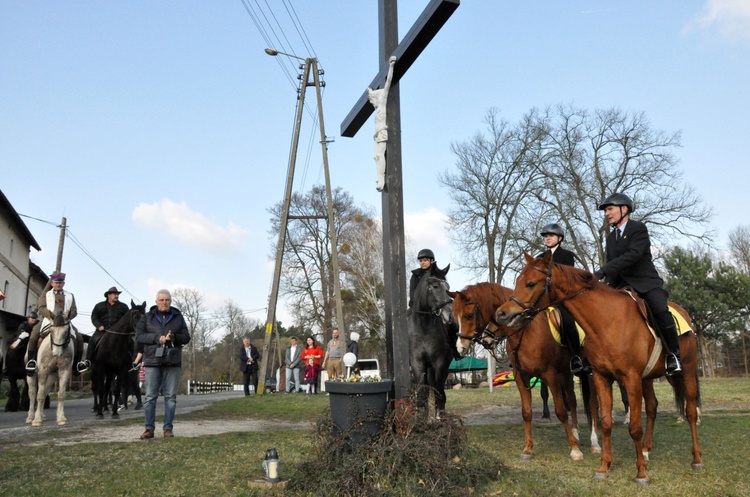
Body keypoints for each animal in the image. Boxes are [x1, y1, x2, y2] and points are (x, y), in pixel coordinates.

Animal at [408, 262, 456, 416]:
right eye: (435, 286)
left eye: (448, 287)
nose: (450, 315)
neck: (423, 327)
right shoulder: (417, 364)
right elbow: (421, 396)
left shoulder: (439, 364)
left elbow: (439, 395)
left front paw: (439, 418)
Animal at [450, 280, 596, 460]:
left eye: (469, 315)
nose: (460, 347)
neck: (526, 332)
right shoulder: (521, 377)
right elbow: (526, 412)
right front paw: (527, 449)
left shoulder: (549, 375)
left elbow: (561, 411)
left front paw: (575, 450)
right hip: (566, 373)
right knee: (574, 401)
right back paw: (575, 433)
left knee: (592, 404)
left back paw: (595, 443)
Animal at [500, 250, 704, 482]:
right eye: (518, 281)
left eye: (531, 283)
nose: (503, 314)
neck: (607, 321)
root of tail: (683, 312)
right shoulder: (601, 377)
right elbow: (606, 422)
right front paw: (604, 467)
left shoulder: (630, 379)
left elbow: (634, 426)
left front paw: (641, 473)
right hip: (647, 378)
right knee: (652, 408)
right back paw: (645, 450)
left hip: (687, 370)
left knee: (690, 411)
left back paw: (696, 459)